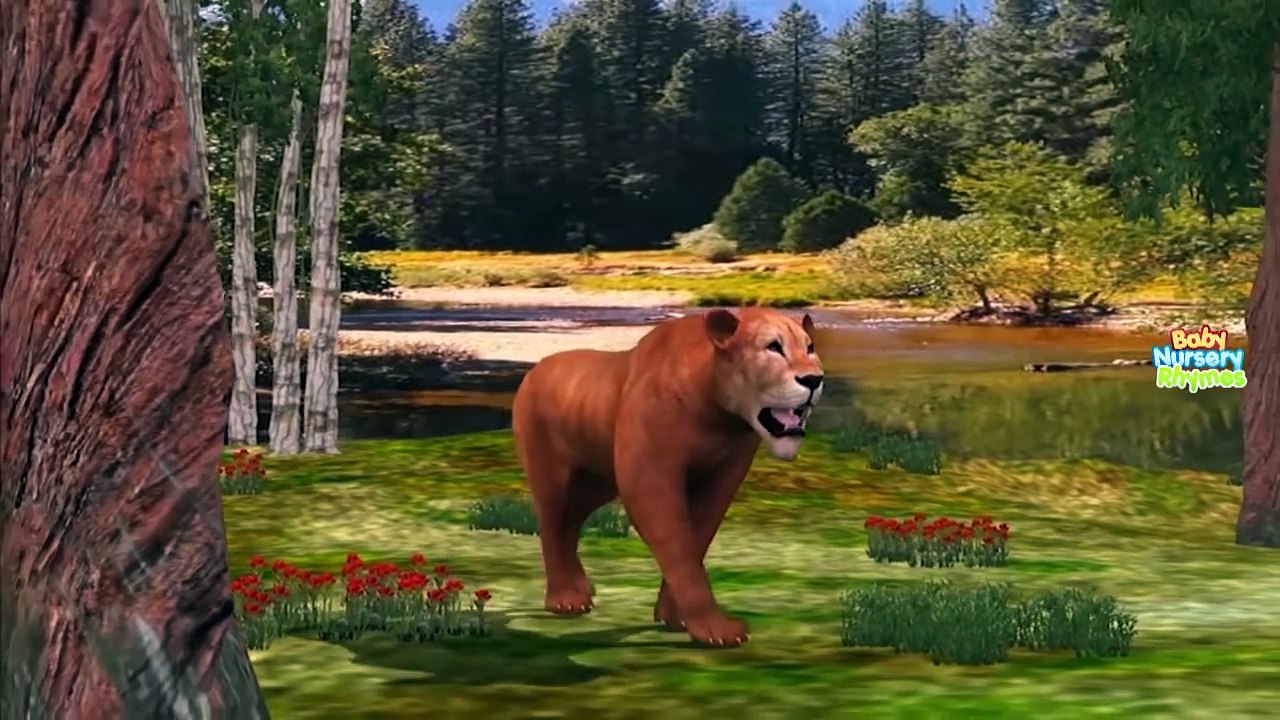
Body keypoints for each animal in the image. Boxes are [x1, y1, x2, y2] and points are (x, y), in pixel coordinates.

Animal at [511, 308, 824, 647]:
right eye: (773, 347)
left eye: (809, 347)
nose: (814, 379)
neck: (718, 415)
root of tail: (535, 369)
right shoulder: (649, 481)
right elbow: (678, 548)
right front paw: (714, 630)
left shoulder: (722, 478)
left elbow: (697, 539)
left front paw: (675, 616)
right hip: (551, 473)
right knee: (552, 524)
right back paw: (565, 599)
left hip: (596, 482)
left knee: (570, 522)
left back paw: (581, 587)